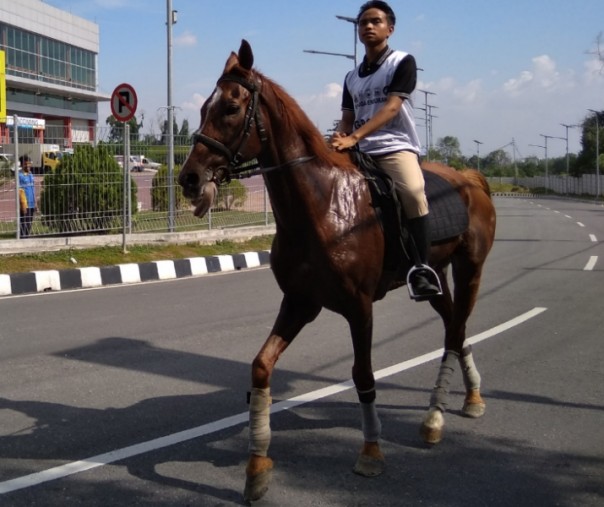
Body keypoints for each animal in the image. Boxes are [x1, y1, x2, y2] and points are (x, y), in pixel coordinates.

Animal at [178, 40, 496, 504]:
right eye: (203, 107)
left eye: (231, 108)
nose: (189, 178)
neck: (322, 204)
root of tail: (472, 178)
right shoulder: (300, 302)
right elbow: (260, 368)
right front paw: (256, 467)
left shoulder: (359, 308)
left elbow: (362, 375)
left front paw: (371, 452)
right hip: (436, 279)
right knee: (456, 330)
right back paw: (469, 398)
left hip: (470, 268)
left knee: (455, 332)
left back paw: (434, 419)